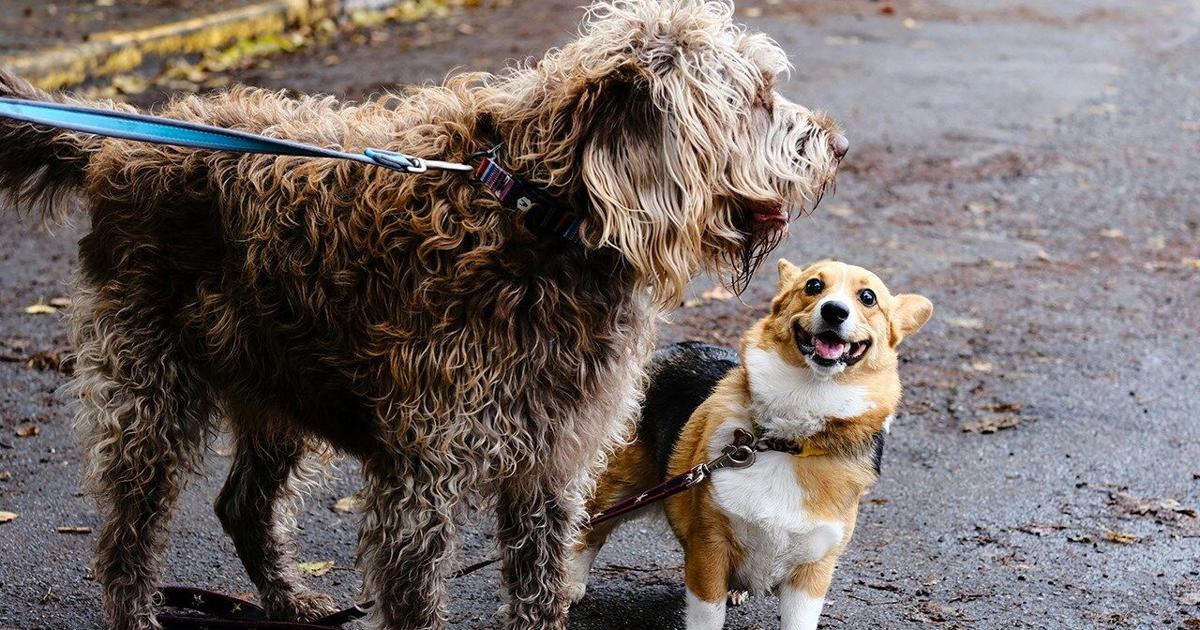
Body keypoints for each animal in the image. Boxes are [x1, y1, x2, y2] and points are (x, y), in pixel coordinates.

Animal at [0, 2, 844, 624]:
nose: (836, 146)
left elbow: (541, 588)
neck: (540, 215)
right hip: (151, 386)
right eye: (756, 96)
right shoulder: (423, 477)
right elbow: (415, 595)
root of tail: (117, 150)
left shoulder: (549, 463)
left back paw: (288, 600)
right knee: (128, 537)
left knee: (242, 504)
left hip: (277, 383)